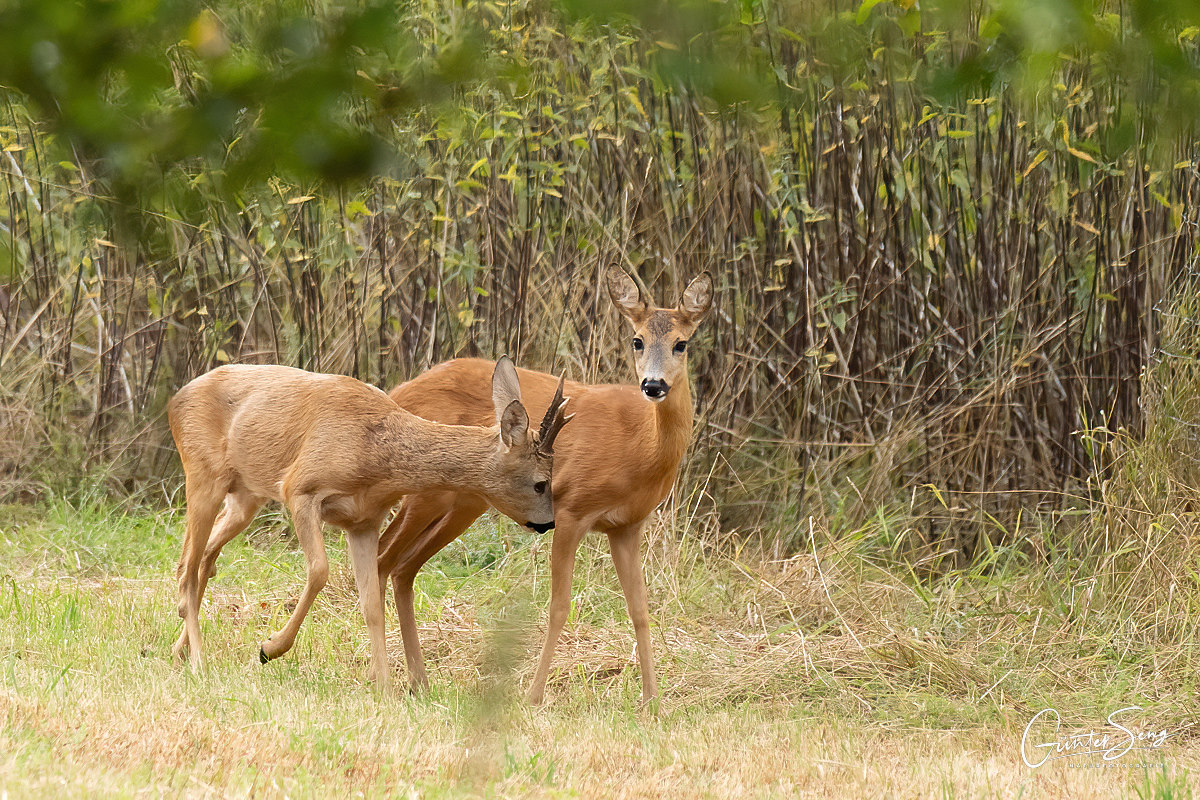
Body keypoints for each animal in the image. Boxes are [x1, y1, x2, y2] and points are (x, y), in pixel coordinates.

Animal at [165, 357, 571, 690]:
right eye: (541, 483)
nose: (548, 524)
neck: (377, 456)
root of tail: (174, 400)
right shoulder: (300, 488)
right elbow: (319, 570)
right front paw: (270, 647)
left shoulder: (363, 521)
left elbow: (372, 604)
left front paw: (385, 687)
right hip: (203, 475)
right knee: (187, 568)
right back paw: (199, 663)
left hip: (244, 497)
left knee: (203, 560)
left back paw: (178, 651)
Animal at [376, 272, 710, 705]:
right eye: (637, 340)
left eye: (681, 343)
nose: (653, 384)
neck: (640, 446)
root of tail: (399, 391)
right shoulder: (571, 510)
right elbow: (559, 606)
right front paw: (533, 695)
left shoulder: (627, 526)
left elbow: (639, 608)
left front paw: (652, 700)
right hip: (426, 490)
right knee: (384, 556)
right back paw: (384, 675)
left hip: (465, 503)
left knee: (402, 566)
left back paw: (420, 680)